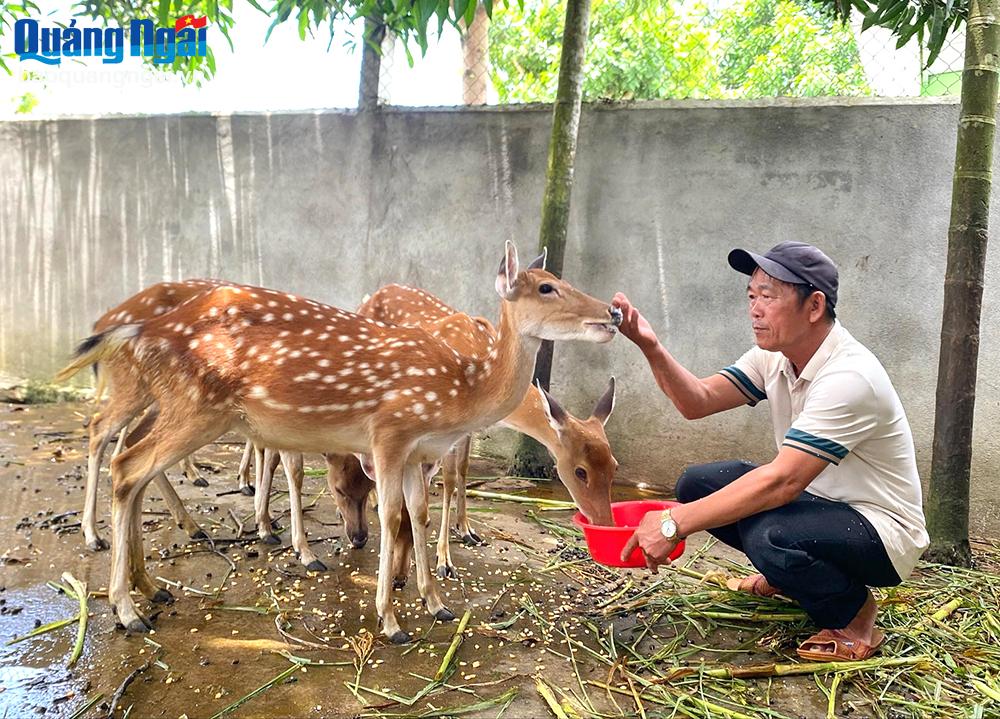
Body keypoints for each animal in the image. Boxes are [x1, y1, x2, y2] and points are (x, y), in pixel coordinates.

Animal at [56, 245, 616, 644]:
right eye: (547, 286)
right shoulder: (389, 433)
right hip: (195, 407)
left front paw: (437, 603)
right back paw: (125, 605)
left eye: (612, 466)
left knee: (129, 459)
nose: (612, 313)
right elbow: (392, 515)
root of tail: (132, 328)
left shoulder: (417, 452)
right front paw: (390, 621)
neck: (459, 391)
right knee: (125, 460)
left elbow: (418, 512)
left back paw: (152, 587)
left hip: (174, 404)